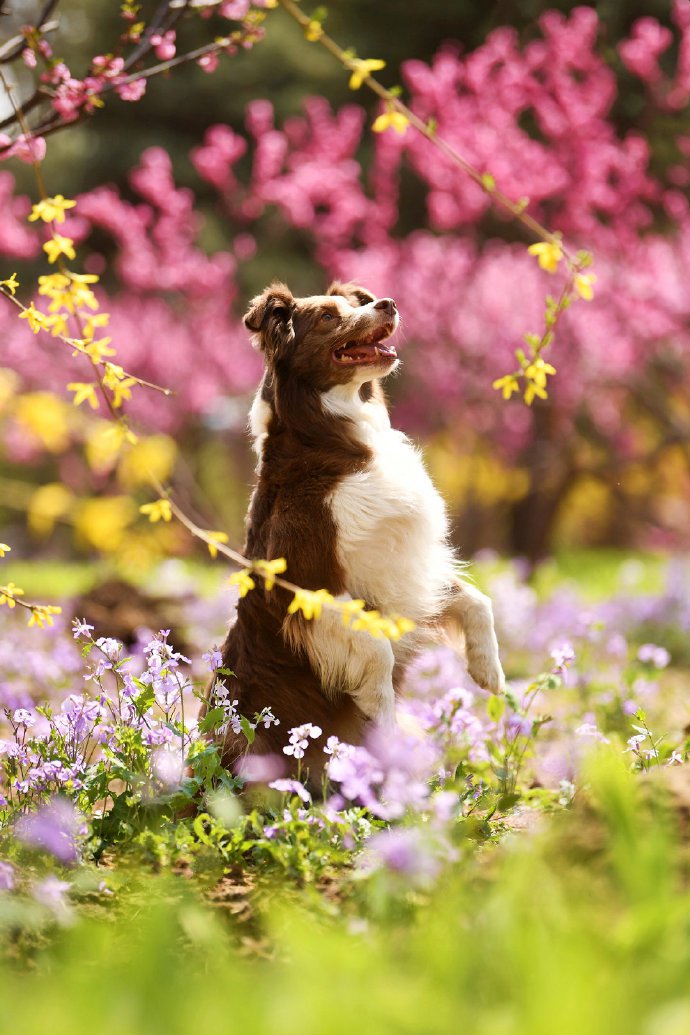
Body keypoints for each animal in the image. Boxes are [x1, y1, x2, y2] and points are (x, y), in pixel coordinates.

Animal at [207, 281, 504, 778]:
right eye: (328, 316)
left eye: (357, 303)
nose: (387, 303)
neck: (332, 438)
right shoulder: (307, 584)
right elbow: (378, 649)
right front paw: (381, 721)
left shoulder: (404, 570)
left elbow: (475, 598)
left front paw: (489, 670)